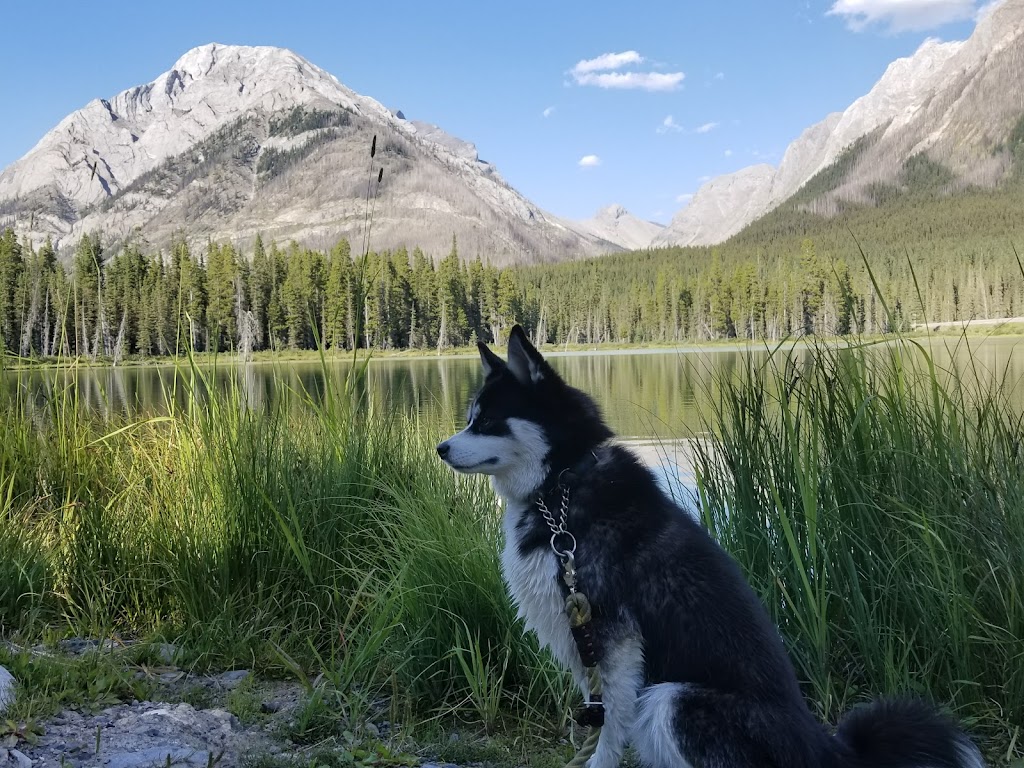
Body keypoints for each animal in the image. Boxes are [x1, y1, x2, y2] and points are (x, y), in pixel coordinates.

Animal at [436, 325, 987, 768]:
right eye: (470, 417)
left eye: (488, 421)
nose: (441, 447)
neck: (561, 487)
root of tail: (824, 749)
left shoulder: (616, 640)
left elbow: (609, 730)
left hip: (673, 699)